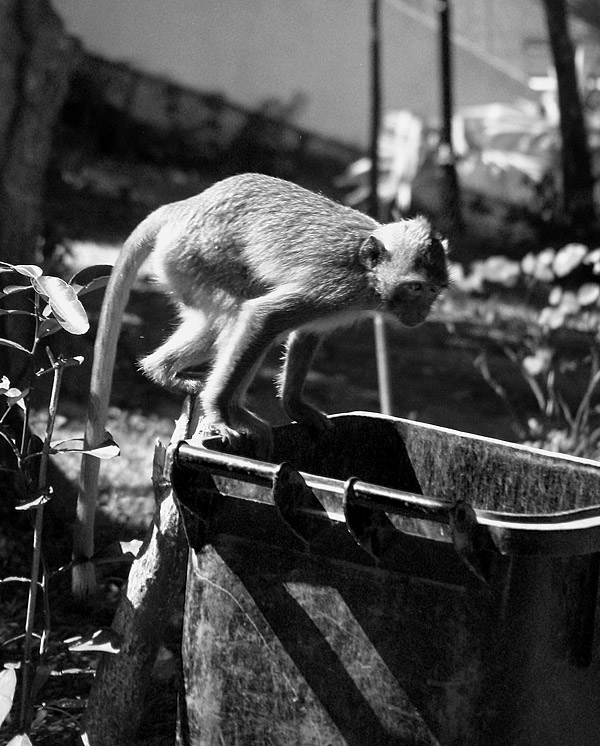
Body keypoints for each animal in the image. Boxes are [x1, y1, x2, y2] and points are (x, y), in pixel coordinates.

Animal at [72, 173, 448, 592]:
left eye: (433, 290)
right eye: (416, 288)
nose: (423, 312)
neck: (368, 272)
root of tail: (186, 205)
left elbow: (306, 333)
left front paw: (296, 407)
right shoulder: (335, 287)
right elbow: (265, 316)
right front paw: (219, 413)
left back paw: (165, 371)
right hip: (192, 259)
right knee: (239, 309)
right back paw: (222, 405)